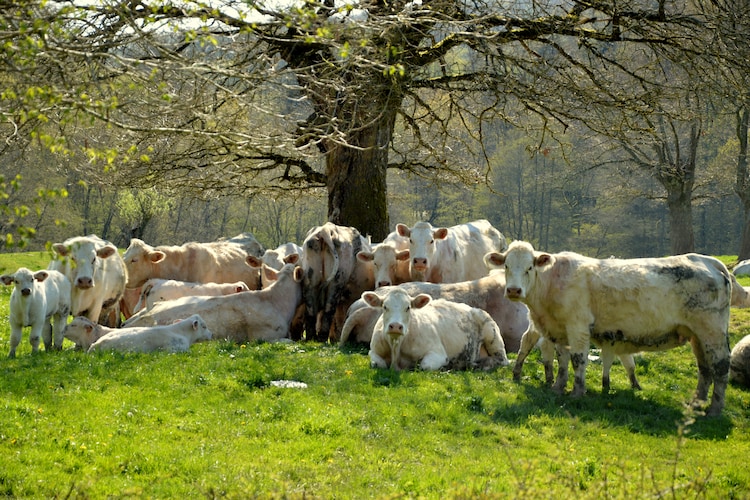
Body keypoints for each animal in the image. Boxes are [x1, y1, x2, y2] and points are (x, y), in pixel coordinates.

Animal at [362, 290, 512, 372]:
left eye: (408, 307)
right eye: (385, 307)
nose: (395, 326)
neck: (396, 349)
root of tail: (473, 308)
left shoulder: (438, 353)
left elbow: (424, 366)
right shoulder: (373, 351)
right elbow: (378, 363)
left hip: (492, 336)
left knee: (502, 361)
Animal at [488, 240, 736, 416]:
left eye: (530, 267)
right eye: (506, 266)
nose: (513, 290)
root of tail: (707, 261)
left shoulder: (578, 326)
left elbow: (578, 360)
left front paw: (577, 392)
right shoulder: (560, 330)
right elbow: (562, 360)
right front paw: (558, 387)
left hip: (711, 331)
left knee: (720, 366)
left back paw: (714, 410)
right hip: (697, 336)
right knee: (704, 368)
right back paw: (696, 403)